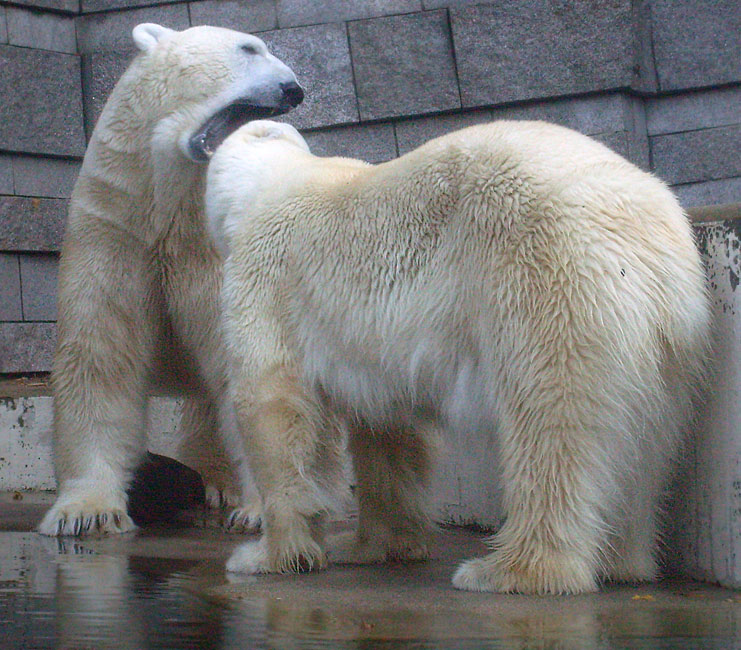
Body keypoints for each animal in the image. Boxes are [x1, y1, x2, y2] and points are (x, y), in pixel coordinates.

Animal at [36, 22, 304, 536]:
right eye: (249, 48)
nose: (294, 89)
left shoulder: (211, 247)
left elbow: (246, 361)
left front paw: (261, 511)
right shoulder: (116, 227)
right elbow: (100, 355)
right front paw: (87, 512)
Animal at [205, 117, 708, 592]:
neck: (277, 178)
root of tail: (645, 230)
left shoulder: (264, 274)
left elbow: (271, 402)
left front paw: (268, 556)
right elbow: (386, 429)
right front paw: (373, 545)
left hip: (543, 276)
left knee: (551, 420)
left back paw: (510, 570)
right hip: (670, 335)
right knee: (645, 442)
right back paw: (624, 561)